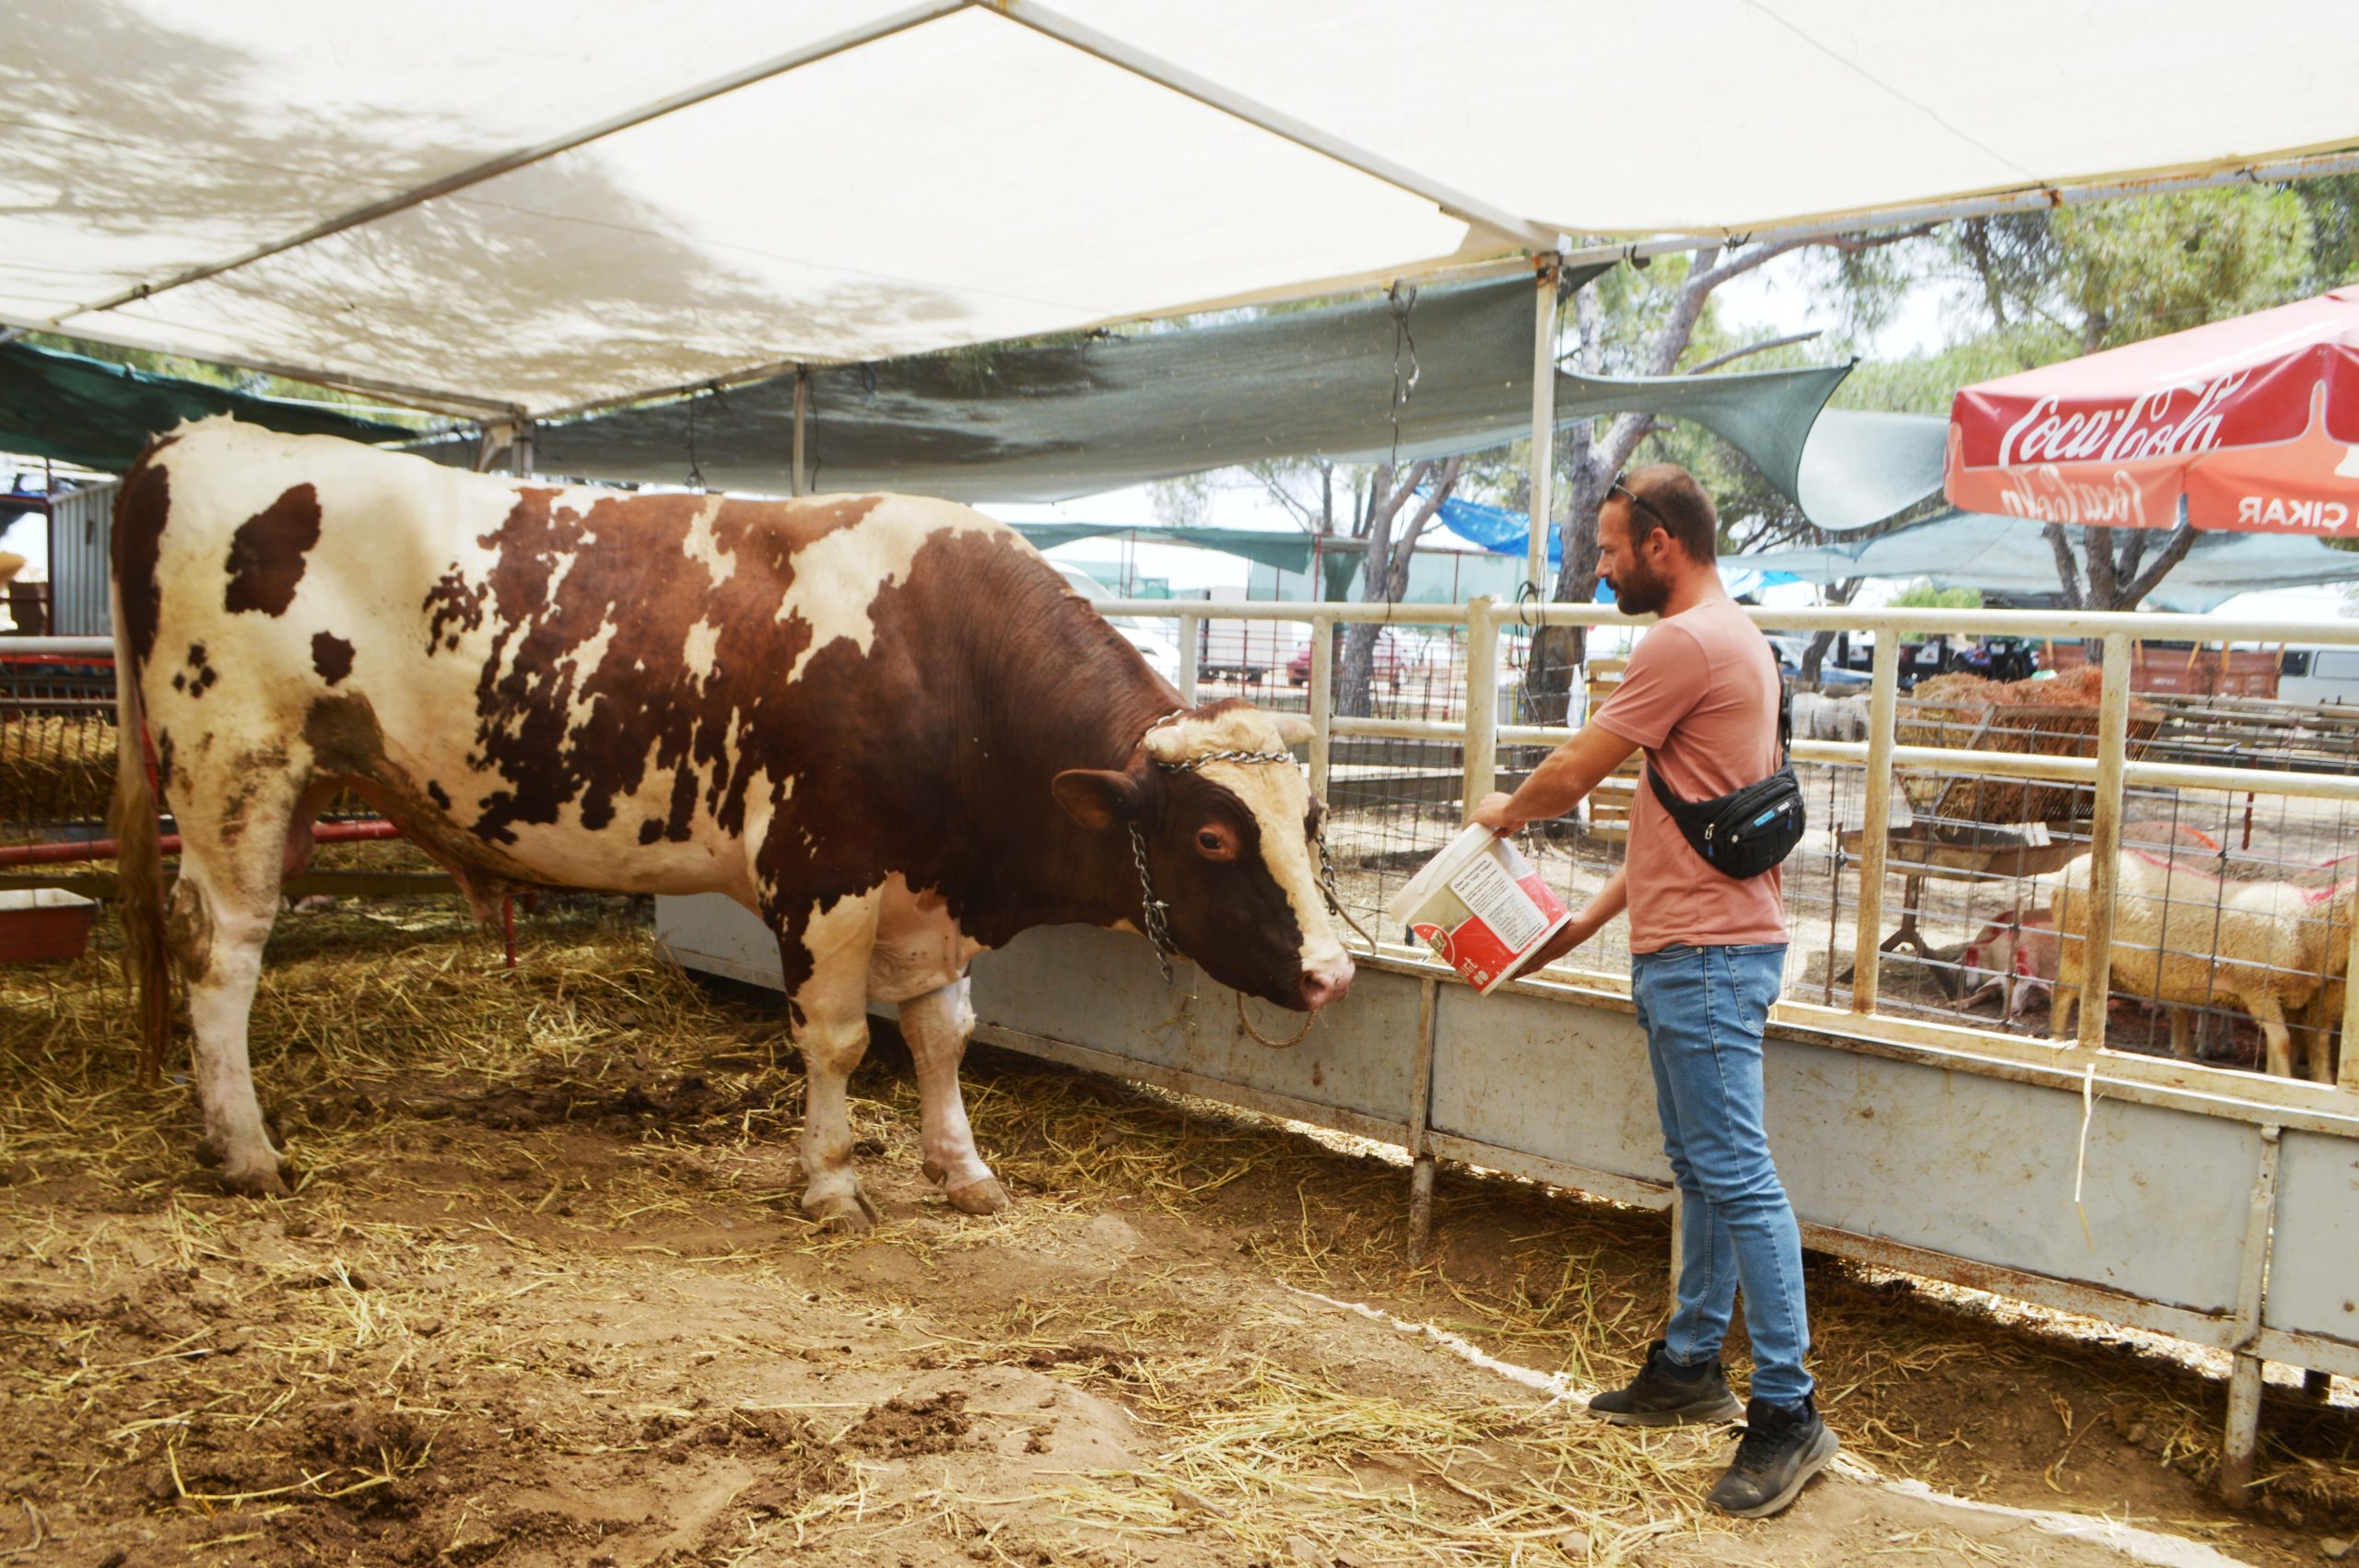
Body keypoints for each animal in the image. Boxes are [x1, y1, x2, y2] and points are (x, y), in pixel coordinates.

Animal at [111, 422, 1358, 1216]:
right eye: (1213, 837)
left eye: (1312, 819)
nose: (1334, 973)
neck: (947, 662)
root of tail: (191, 440)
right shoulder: (823, 874)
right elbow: (841, 1037)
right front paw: (832, 1181)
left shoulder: (930, 894)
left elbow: (943, 1033)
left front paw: (961, 1170)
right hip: (233, 771)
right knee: (224, 954)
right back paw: (247, 1149)